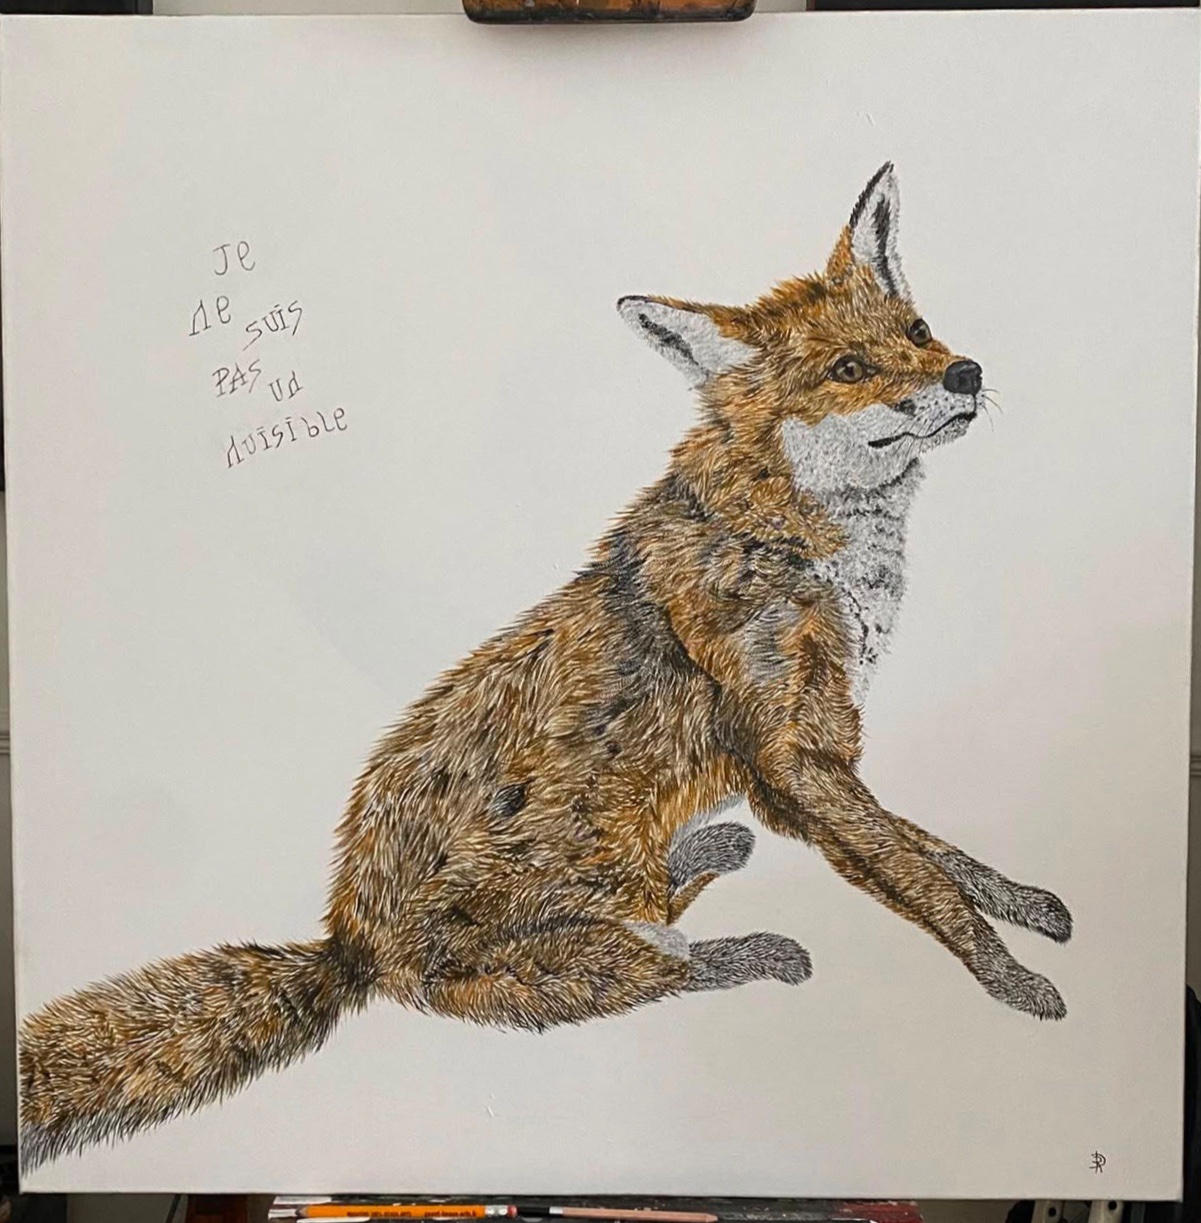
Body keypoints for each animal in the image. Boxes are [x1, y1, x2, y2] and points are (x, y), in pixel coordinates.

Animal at [19, 163, 1071, 1172]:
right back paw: (750, 947)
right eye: (849, 368)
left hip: (622, 850)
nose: (966, 372)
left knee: (647, 917)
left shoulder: (815, 750)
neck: (795, 537)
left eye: (917, 331)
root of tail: (349, 940)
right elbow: (927, 881)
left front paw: (1026, 904)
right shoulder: (789, 755)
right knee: (644, 964)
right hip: (589, 867)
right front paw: (1013, 979)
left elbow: (944, 855)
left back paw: (710, 853)